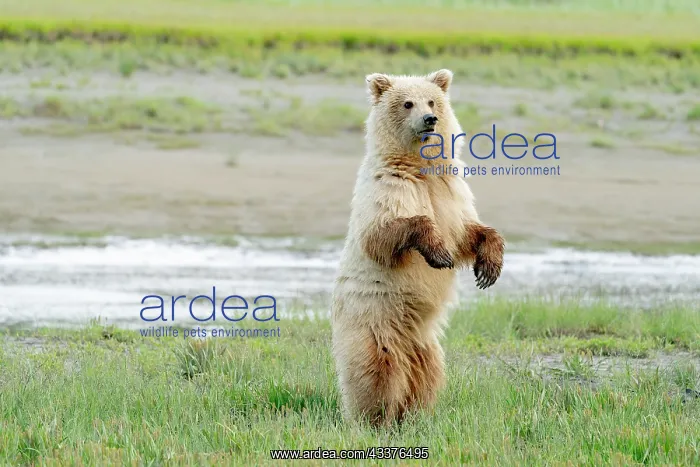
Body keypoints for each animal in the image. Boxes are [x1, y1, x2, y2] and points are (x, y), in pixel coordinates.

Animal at [330, 69, 505, 427]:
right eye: (407, 103)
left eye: (432, 101)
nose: (430, 120)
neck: (421, 170)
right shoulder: (389, 189)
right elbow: (382, 235)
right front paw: (437, 253)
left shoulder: (450, 193)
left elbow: (467, 232)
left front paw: (489, 267)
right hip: (374, 324)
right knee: (378, 372)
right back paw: (375, 419)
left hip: (425, 344)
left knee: (427, 375)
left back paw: (416, 416)